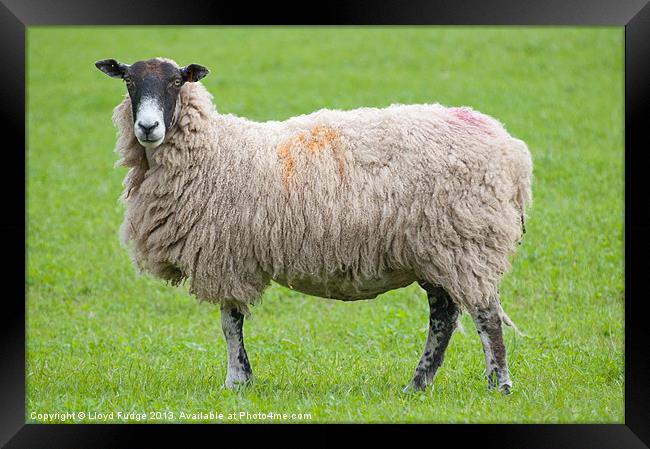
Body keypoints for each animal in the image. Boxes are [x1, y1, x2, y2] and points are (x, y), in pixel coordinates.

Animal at [96, 57, 532, 394]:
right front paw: (241, 380)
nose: (147, 127)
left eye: (176, 82)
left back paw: (499, 385)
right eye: (129, 82)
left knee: (485, 315)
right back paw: (417, 385)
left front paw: (237, 381)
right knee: (444, 316)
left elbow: (229, 322)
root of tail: (510, 149)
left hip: (465, 240)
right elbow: (231, 322)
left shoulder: (227, 255)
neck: (214, 151)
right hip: (437, 248)